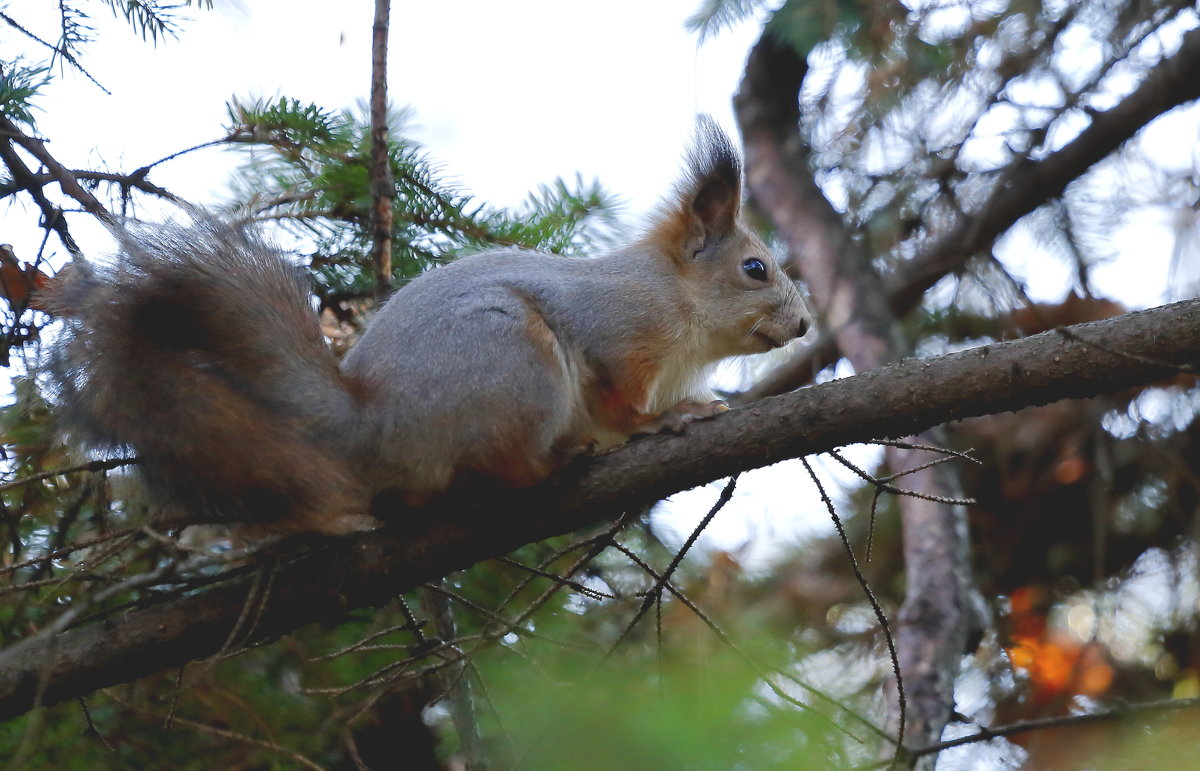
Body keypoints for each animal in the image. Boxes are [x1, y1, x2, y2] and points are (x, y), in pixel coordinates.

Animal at [51, 117, 811, 530]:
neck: (681, 311)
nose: (805, 325)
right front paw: (666, 419)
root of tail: (374, 423)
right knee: (503, 466)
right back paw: (555, 462)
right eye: (755, 268)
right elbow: (617, 403)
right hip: (514, 358)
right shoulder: (619, 335)